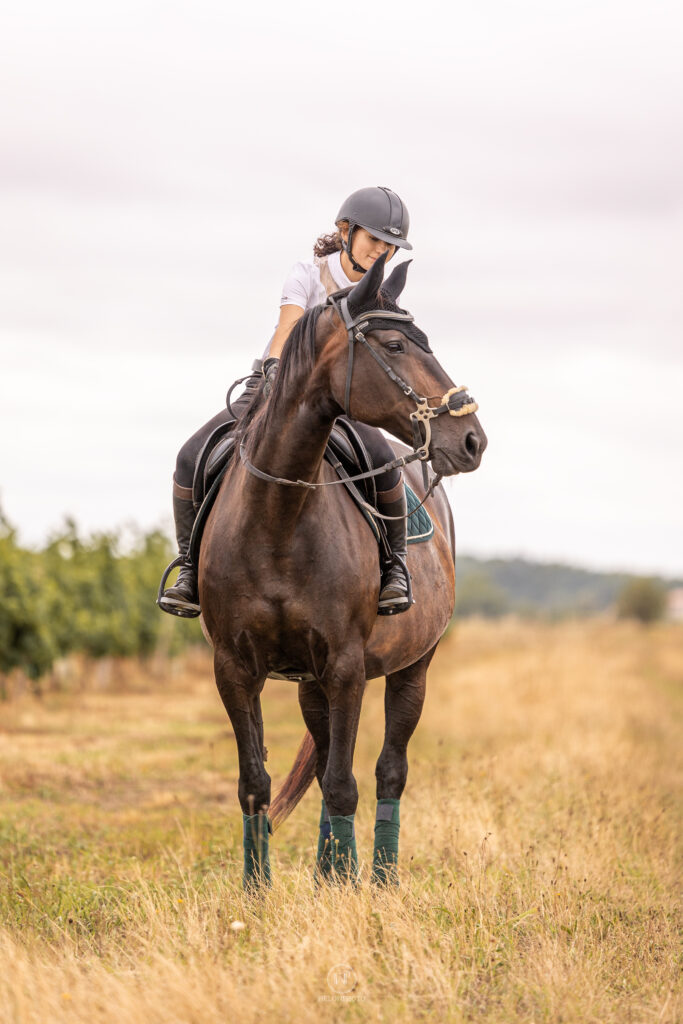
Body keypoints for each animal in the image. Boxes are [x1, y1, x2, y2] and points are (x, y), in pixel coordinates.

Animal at [197, 251, 485, 884]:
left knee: (387, 770)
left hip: (412, 669)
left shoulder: (348, 666)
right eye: (396, 345)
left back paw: (378, 877)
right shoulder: (234, 668)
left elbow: (343, 783)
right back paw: (328, 872)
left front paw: (349, 890)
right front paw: (257, 890)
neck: (277, 518)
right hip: (310, 683)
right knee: (329, 753)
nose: (473, 439)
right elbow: (256, 783)